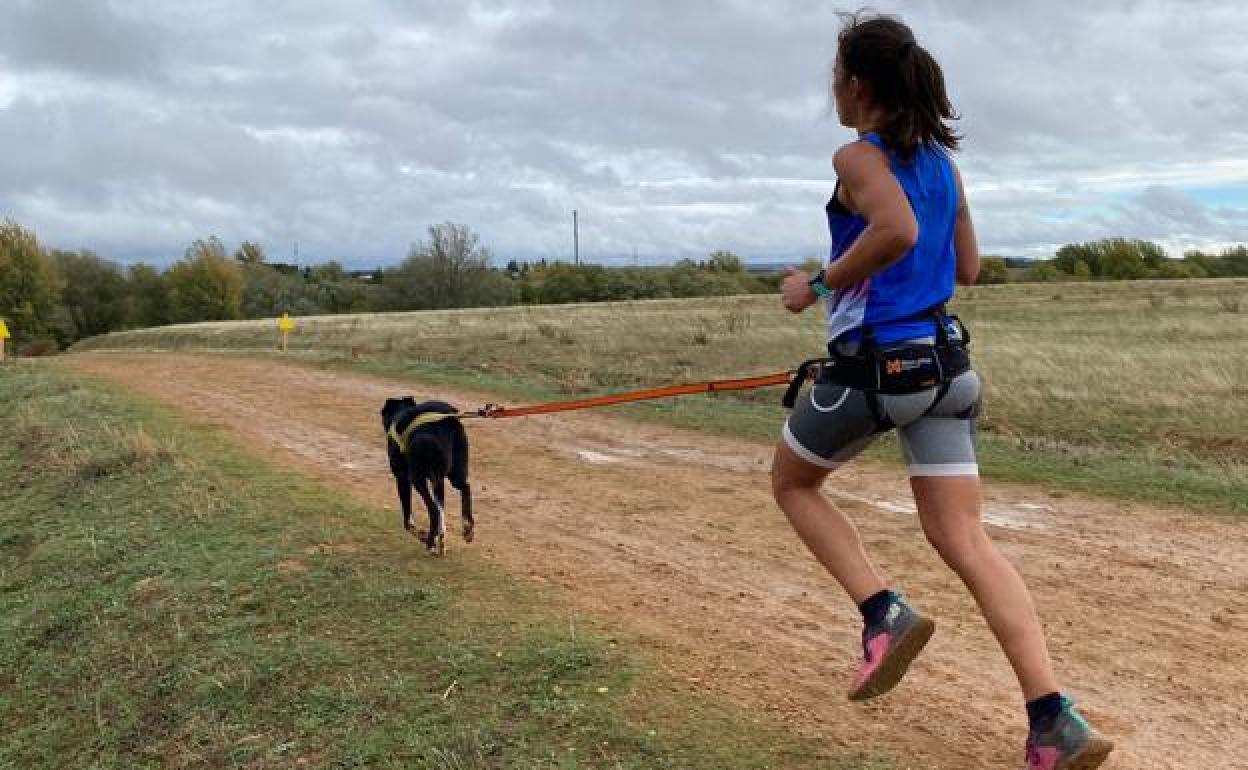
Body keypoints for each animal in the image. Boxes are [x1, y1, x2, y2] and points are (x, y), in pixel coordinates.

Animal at [376, 396, 469, 551]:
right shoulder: (438, 480)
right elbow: (442, 515)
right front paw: (441, 541)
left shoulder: (402, 478)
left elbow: (408, 522)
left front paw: (425, 536)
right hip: (455, 471)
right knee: (465, 487)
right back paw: (468, 527)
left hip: (417, 478)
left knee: (433, 510)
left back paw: (429, 541)